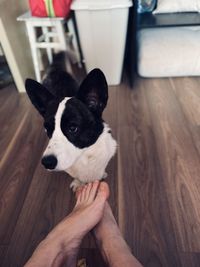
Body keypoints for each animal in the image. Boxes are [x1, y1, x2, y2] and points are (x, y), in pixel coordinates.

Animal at [25, 52, 116, 191]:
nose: (47, 163)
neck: (84, 154)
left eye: (73, 128)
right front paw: (78, 183)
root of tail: (55, 70)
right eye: (47, 129)